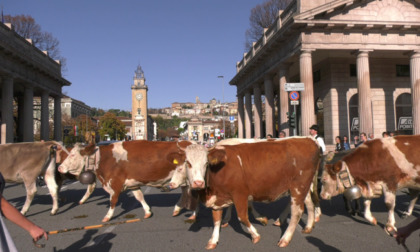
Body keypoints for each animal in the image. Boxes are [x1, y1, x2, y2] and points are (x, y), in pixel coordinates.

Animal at [57, 140, 194, 222]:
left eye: (72, 155)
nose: (59, 167)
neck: (104, 159)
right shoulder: (132, 183)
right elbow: (139, 197)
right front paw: (147, 212)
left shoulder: (115, 183)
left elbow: (113, 201)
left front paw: (108, 216)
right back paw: (177, 209)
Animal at [176, 137, 320, 249]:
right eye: (187, 163)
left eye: (206, 163)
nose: (198, 183)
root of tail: (307, 139)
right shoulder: (217, 198)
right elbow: (216, 220)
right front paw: (213, 240)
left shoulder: (240, 194)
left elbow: (242, 217)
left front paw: (255, 234)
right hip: (300, 188)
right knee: (308, 204)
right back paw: (306, 226)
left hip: (299, 186)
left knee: (297, 211)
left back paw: (285, 238)